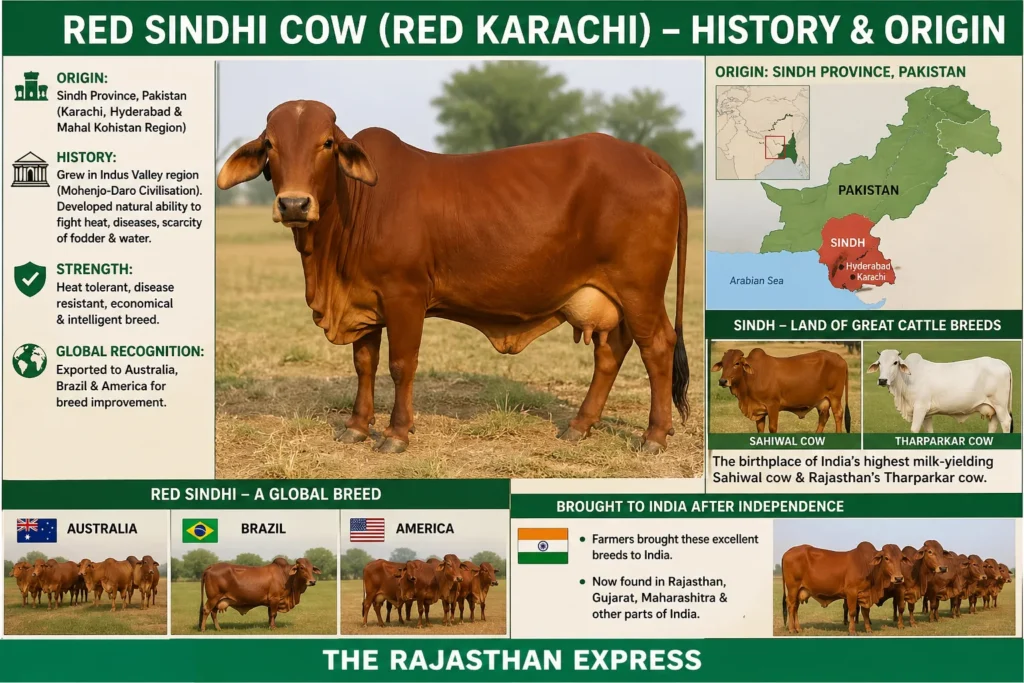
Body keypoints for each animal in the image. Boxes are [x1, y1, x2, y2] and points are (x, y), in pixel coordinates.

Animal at [216, 100, 692, 455]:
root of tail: (644, 155)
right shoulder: (364, 302)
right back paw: (580, 425)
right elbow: (364, 364)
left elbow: (401, 365)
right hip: (611, 295)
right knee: (612, 351)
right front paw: (356, 426)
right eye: (271, 145)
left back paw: (653, 436)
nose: (294, 204)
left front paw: (396, 434)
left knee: (657, 347)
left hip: (640, 290)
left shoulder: (405, 295)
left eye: (327, 143)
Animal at [712, 348, 851, 433]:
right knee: (824, 417)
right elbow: (760, 429)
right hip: (822, 401)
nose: (723, 381)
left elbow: (773, 428)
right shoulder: (759, 411)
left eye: (737, 363)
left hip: (835, 397)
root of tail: (840, 358)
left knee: (838, 414)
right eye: (723, 363)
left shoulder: (773, 405)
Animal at [868, 350, 1013, 433]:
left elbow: (914, 429)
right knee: (993, 424)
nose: (882, 380)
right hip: (994, 408)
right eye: (879, 363)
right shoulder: (927, 414)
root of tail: (1003, 364)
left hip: (1000, 405)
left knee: (1006, 422)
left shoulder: (920, 407)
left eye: (895, 362)